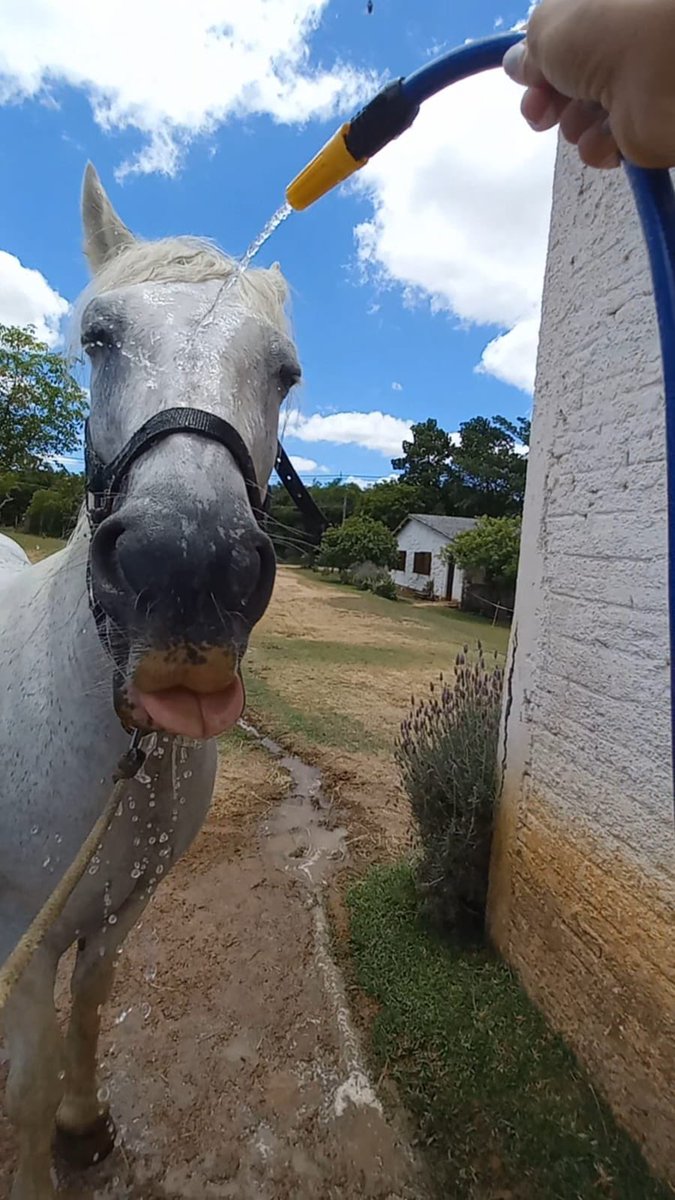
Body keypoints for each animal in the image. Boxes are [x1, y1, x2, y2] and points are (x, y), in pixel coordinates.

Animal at [0, 163, 299, 1200]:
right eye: (98, 338)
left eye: (285, 372)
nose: (186, 569)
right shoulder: (26, 933)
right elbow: (22, 1081)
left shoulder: (119, 911)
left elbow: (91, 1008)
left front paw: (83, 1126)